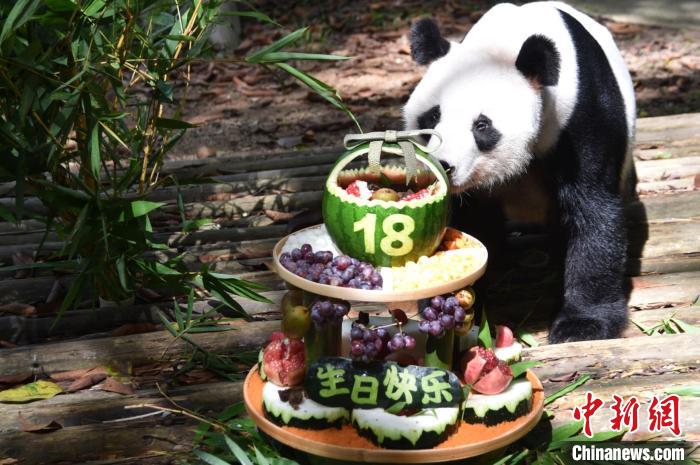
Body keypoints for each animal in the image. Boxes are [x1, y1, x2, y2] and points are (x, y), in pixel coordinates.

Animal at [402, 1, 636, 342]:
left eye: (481, 125)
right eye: (432, 117)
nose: (444, 167)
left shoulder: (580, 116)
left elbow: (593, 210)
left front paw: (583, 325)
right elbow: (463, 225)